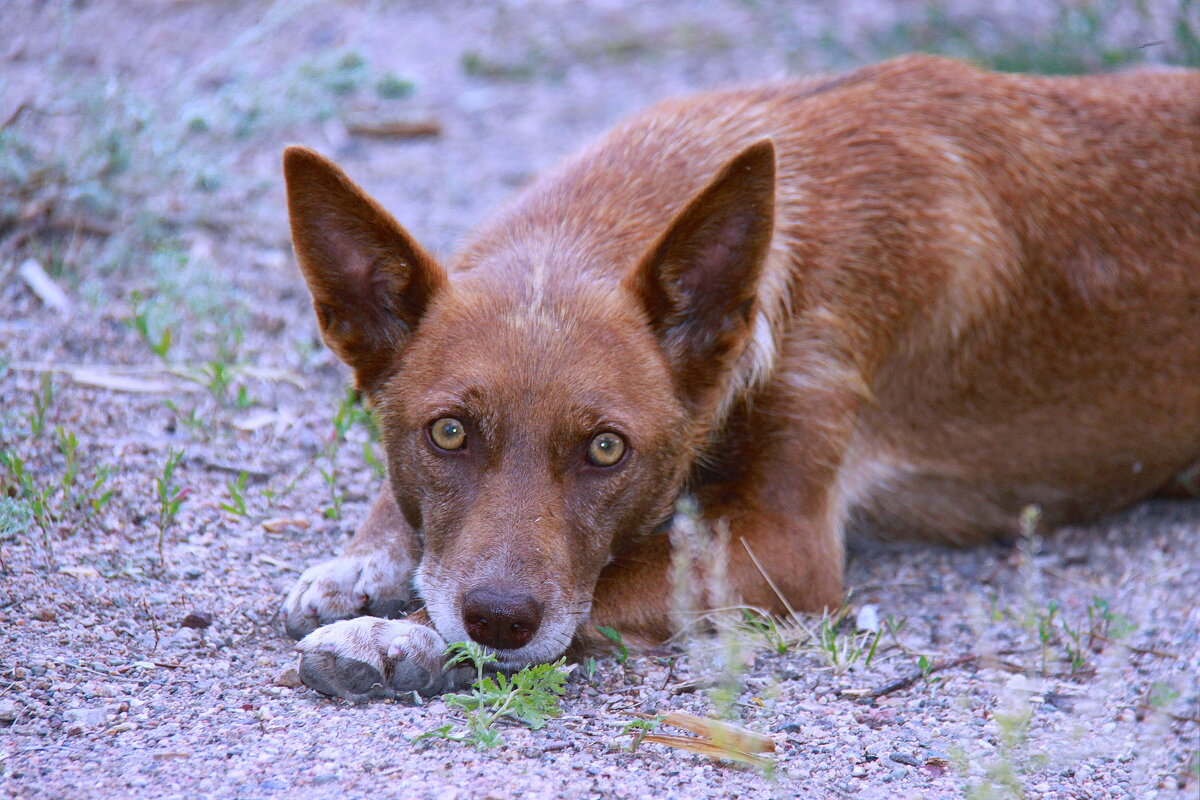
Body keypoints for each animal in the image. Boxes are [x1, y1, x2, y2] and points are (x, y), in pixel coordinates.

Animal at [278, 54, 1200, 700]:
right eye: (448, 432)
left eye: (607, 450)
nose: (500, 619)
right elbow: (400, 517)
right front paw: (357, 566)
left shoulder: (786, 544)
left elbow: (614, 578)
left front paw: (403, 636)